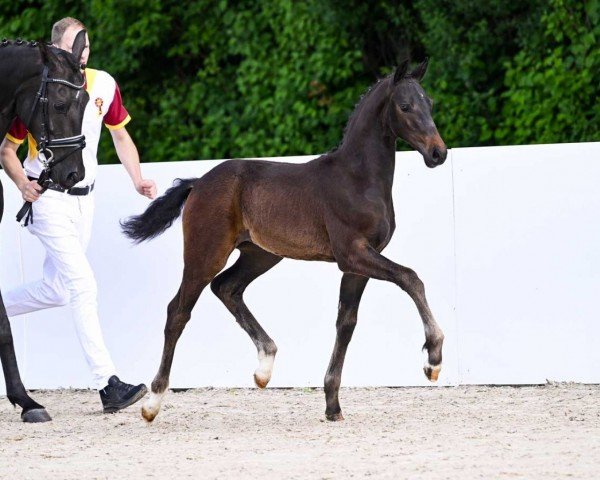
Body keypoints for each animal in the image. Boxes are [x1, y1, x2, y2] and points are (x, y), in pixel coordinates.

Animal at [122, 58, 448, 422]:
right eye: (405, 106)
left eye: (430, 103)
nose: (438, 153)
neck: (357, 179)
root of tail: (198, 183)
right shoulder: (352, 254)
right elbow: (411, 278)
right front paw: (433, 359)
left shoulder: (358, 264)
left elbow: (346, 323)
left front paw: (332, 405)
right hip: (206, 254)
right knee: (178, 311)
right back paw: (152, 402)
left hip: (260, 255)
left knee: (227, 287)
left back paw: (265, 367)